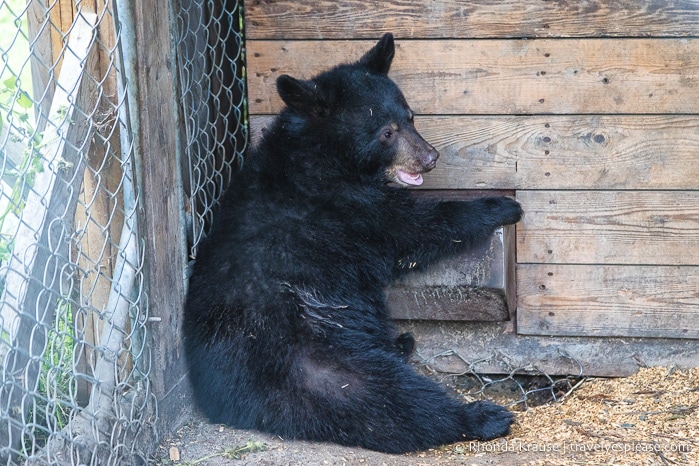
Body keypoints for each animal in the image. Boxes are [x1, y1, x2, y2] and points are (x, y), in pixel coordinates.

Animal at [183, 33, 524, 456]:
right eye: (386, 132)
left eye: (411, 116)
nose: (429, 157)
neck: (321, 155)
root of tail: (230, 405)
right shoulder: (348, 206)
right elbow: (416, 228)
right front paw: (501, 205)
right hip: (322, 367)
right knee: (394, 404)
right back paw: (480, 416)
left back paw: (402, 343)